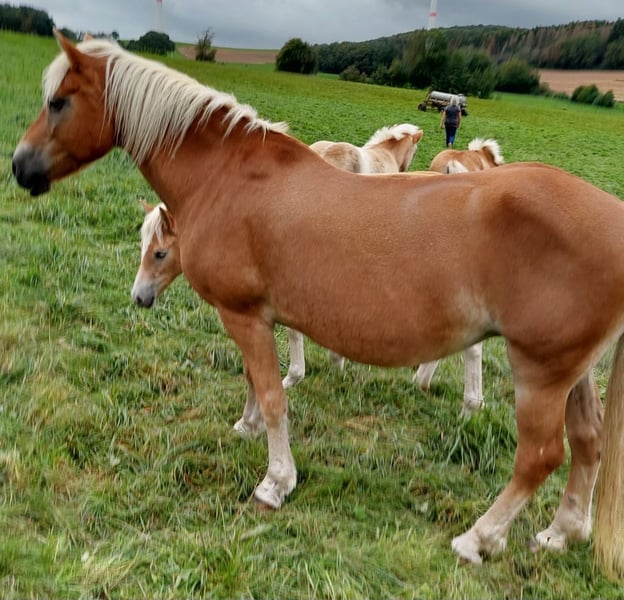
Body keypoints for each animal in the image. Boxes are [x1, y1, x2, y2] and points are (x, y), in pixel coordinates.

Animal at [12, 32, 624, 580]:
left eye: (58, 100)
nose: (20, 166)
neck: (227, 176)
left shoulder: (242, 314)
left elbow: (274, 395)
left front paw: (275, 482)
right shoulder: (254, 316)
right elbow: (257, 381)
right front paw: (246, 426)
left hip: (540, 372)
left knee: (540, 456)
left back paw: (479, 539)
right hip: (573, 372)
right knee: (588, 442)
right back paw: (560, 533)